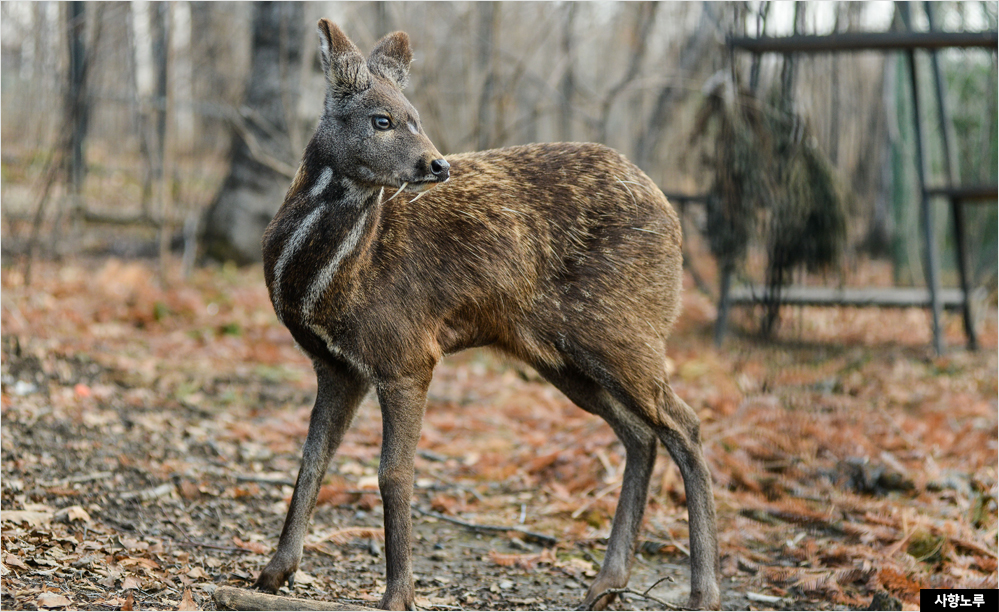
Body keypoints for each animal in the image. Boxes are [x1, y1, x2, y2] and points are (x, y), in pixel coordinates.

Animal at [256, 20, 720, 612]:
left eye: (415, 115)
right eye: (382, 119)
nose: (437, 164)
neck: (328, 281)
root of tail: (673, 216)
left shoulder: (407, 354)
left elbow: (393, 474)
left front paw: (398, 595)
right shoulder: (338, 366)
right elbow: (311, 460)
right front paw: (274, 572)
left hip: (622, 329)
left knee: (685, 425)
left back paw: (702, 592)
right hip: (561, 356)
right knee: (641, 434)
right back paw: (605, 584)